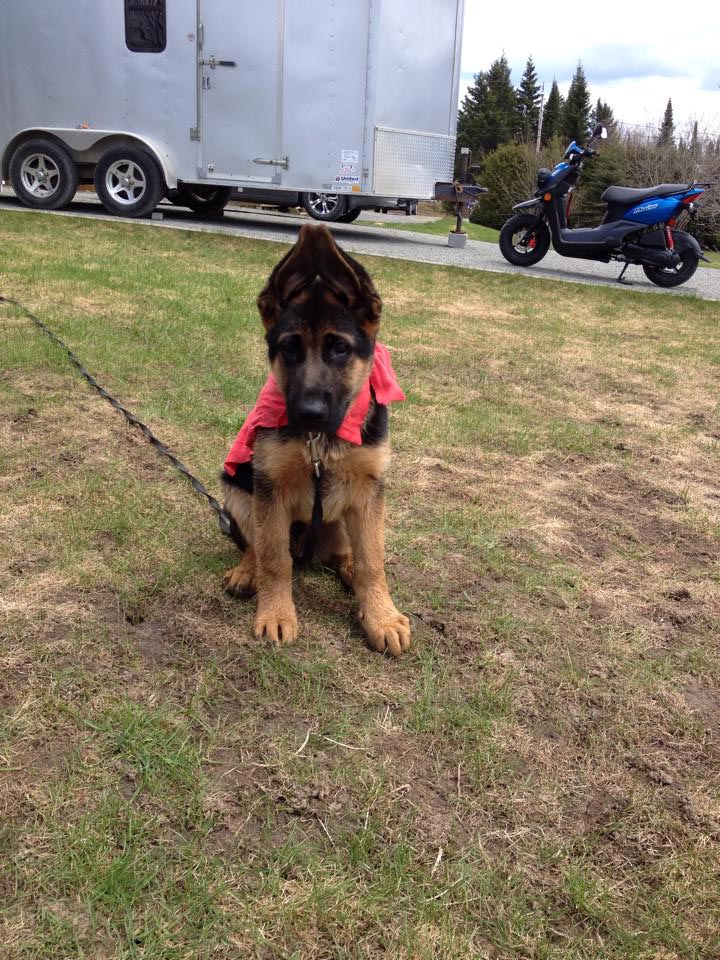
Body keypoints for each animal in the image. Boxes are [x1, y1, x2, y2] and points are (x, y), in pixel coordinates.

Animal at [220, 224, 411, 657]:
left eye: (339, 347)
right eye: (289, 347)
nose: (308, 414)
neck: (322, 442)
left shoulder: (369, 490)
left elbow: (374, 560)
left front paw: (381, 617)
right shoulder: (269, 487)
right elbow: (275, 559)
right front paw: (276, 614)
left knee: (348, 554)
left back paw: (350, 570)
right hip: (236, 490)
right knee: (257, 545)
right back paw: (246, 571)